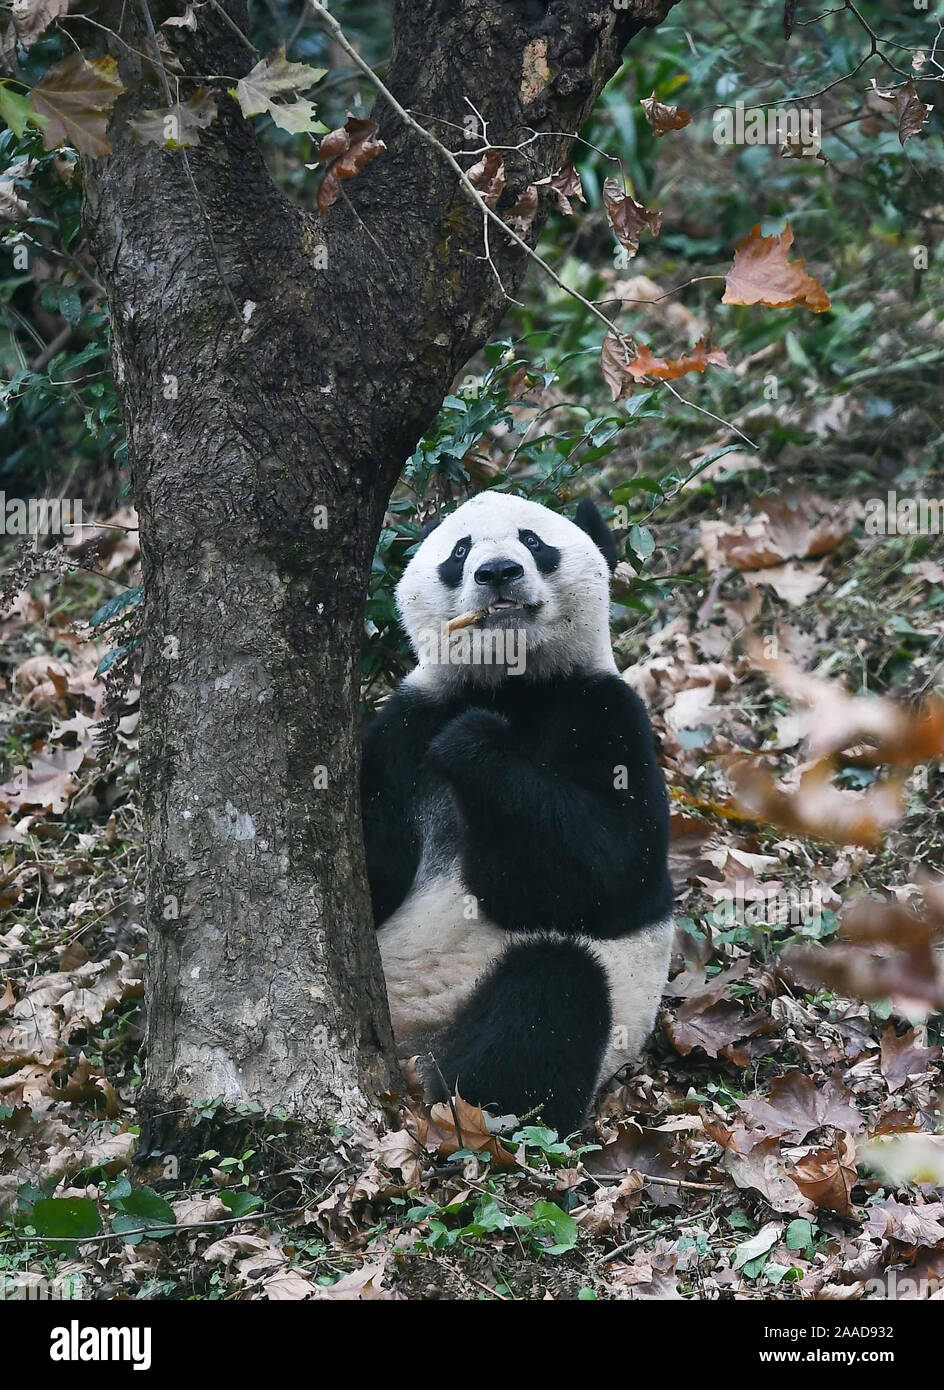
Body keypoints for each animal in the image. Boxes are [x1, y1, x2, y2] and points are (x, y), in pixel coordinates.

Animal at [358, 494, 675, 1134]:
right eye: (459, 551)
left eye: (533, 540)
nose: (497, 572)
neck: (511, 685)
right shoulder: (403, 727)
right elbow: (372, 861)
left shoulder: (605, 710)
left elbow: (619, 870)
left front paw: (473, 744)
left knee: (552, 990)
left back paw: (469, 1110)